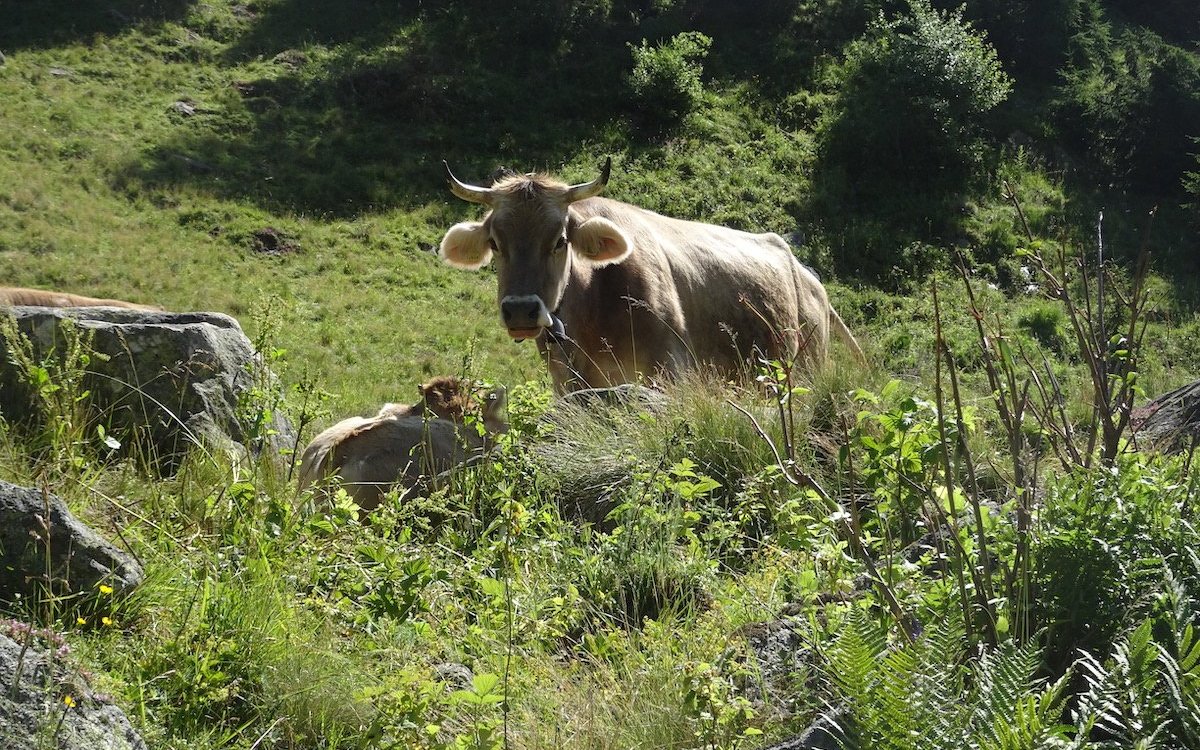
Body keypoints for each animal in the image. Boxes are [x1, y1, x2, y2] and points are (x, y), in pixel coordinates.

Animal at [439, 157, 864, 391]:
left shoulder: (670, 370)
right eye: (495, 242)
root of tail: (808, 276)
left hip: (807, 367)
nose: (521, 310)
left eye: (560, 240)